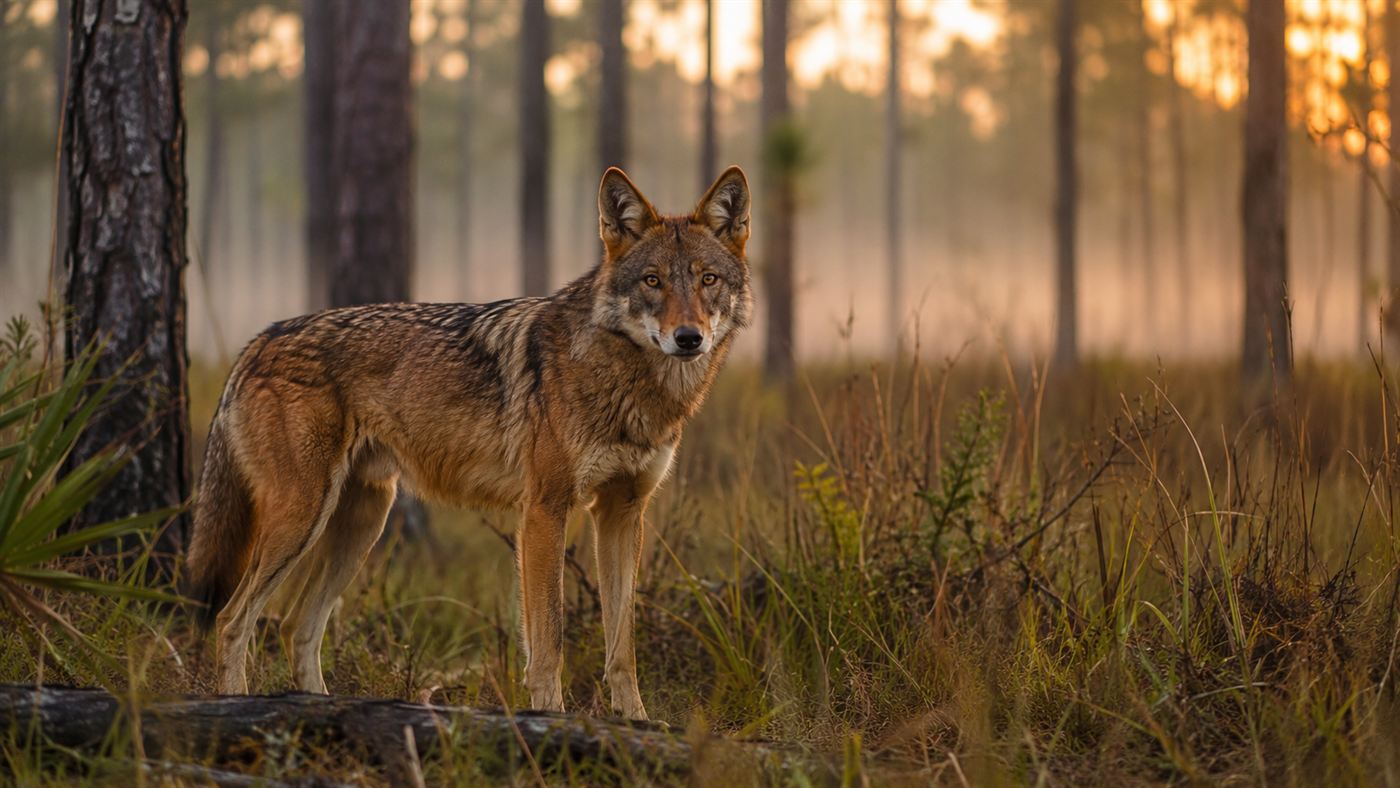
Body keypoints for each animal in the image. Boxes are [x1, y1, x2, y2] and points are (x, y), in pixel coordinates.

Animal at [184, 167, 751, 720]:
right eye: (653, 281)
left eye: (708, 279)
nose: (688, 338)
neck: (630, 383)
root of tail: (261, 338)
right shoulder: (544, 511)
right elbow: (549, 642)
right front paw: (552, 717)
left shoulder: (622, 513)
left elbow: (621, 645)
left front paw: (636, 721)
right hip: (303, 518)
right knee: (233, 620)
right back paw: (236, 706)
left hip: (364, 523)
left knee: (295, 626)